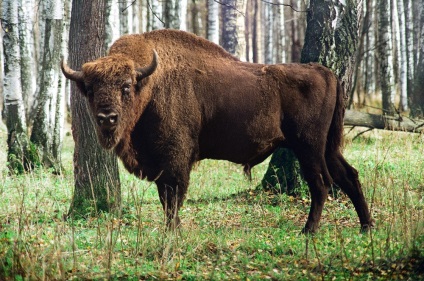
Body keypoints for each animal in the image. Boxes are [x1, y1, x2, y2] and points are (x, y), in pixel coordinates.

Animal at [61, 29, 372, 233]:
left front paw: (172, 232)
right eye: (90, 89)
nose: (107, 118)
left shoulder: (175, 159)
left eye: (126, 87)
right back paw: (366, 226)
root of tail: (326, 72)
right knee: (349, 175)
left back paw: (309, 230)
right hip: (328, 147)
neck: (150, 83)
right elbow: (166, 198)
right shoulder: (161, 164)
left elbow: (173, 197)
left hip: (309, 147)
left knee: (321, 184)